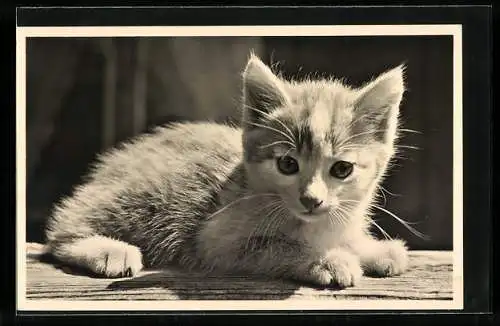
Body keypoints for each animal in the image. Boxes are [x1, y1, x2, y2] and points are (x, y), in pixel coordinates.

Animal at [45, 54, 408, 290]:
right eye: (287, 164)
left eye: (342, 169)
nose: (311, 200)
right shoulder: (216, 240)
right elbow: (277, 246)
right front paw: (327, 260)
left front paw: (371, 249)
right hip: (144, 198)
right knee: (63, 227)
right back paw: (108, 250)